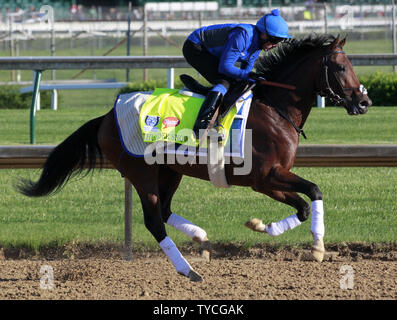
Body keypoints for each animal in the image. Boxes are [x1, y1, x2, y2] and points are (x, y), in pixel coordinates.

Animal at [17, 33, 372, 282]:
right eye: (341, 67)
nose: (364, 101)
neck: (276, 108)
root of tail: (106, 116)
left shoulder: (270, 179)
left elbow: (301, 206)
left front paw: (261, 226)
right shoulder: (264, 176)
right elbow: (313, 191)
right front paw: (318, 247)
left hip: (170, 170)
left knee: (165, 210)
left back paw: (200, 237)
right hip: (142, 173)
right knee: (154, 220)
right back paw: (188, 269)